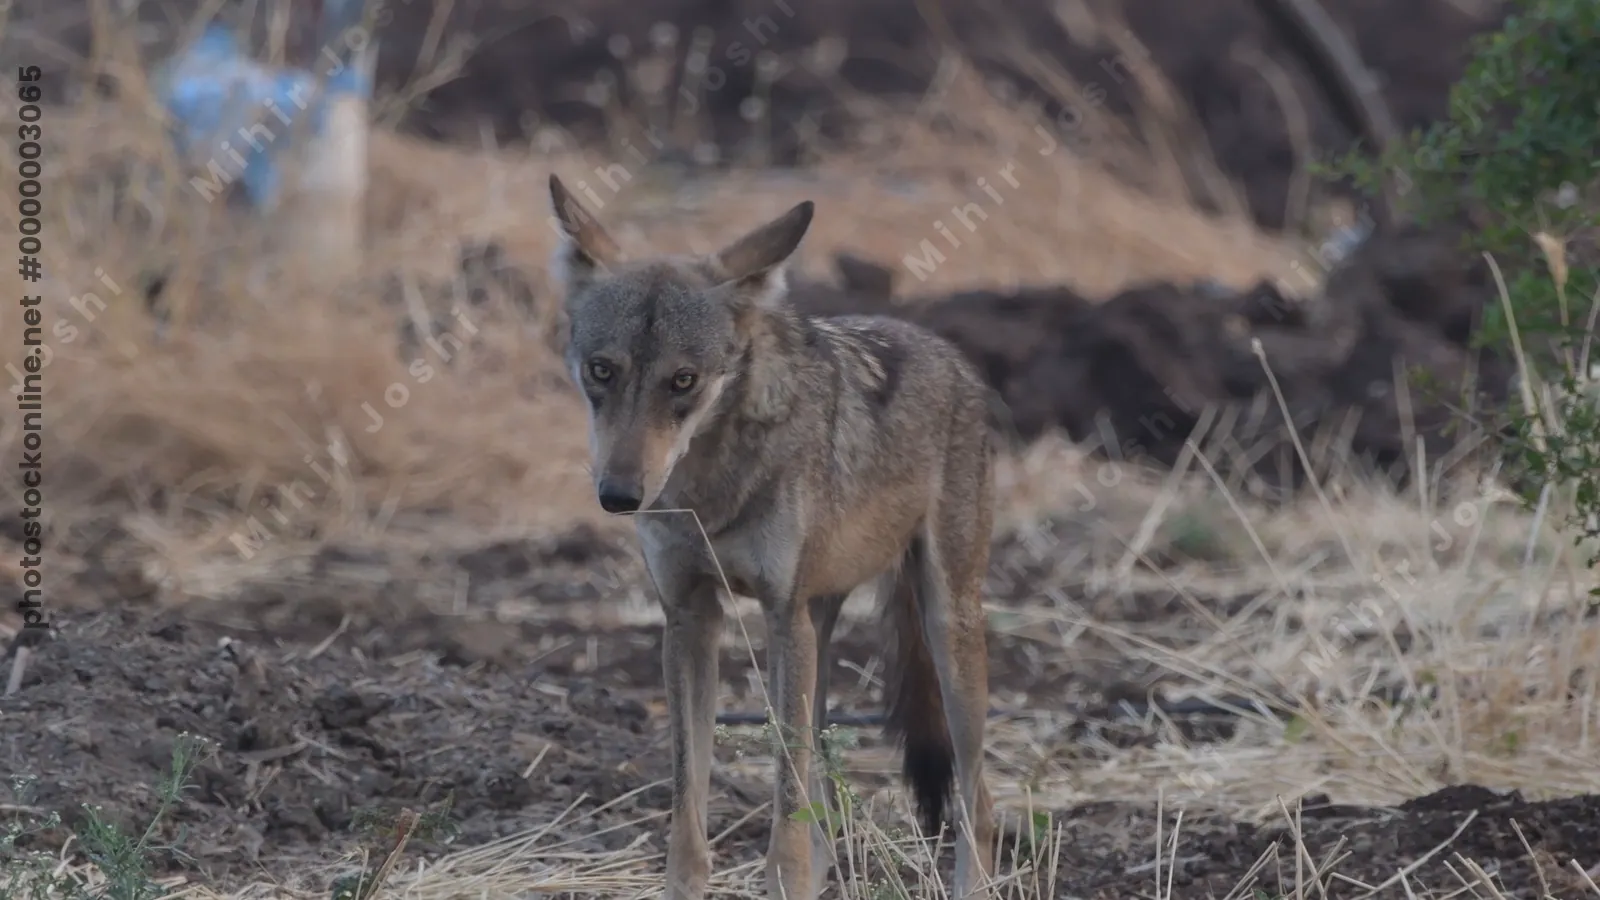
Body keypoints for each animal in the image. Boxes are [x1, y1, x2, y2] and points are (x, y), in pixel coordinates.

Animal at [546, 173, 997, 900]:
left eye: (683, 380)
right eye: (601, 370)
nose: (619, 495)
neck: (709, 486)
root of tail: (950, 353)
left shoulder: (781, 617)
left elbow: (784, 811)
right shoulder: (690, 618)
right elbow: (690, 810)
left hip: (941, 628)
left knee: (975, 806)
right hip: (822, 628)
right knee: (824, 808)